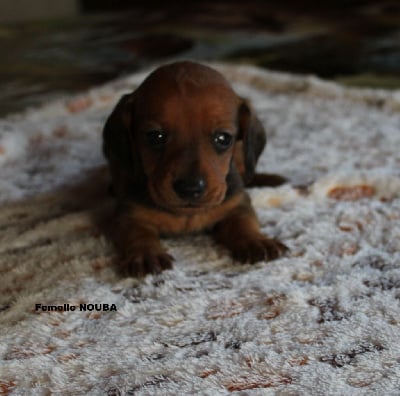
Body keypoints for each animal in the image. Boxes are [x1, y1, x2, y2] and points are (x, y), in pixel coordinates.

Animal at [101, 60, 286, 276]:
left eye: (223, 138)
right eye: (155, 136)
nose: (189, 188)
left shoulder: (236, 204)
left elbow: (244, 223)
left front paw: (255, 241)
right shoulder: (129, 215)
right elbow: (138, 234)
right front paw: (145, 253)